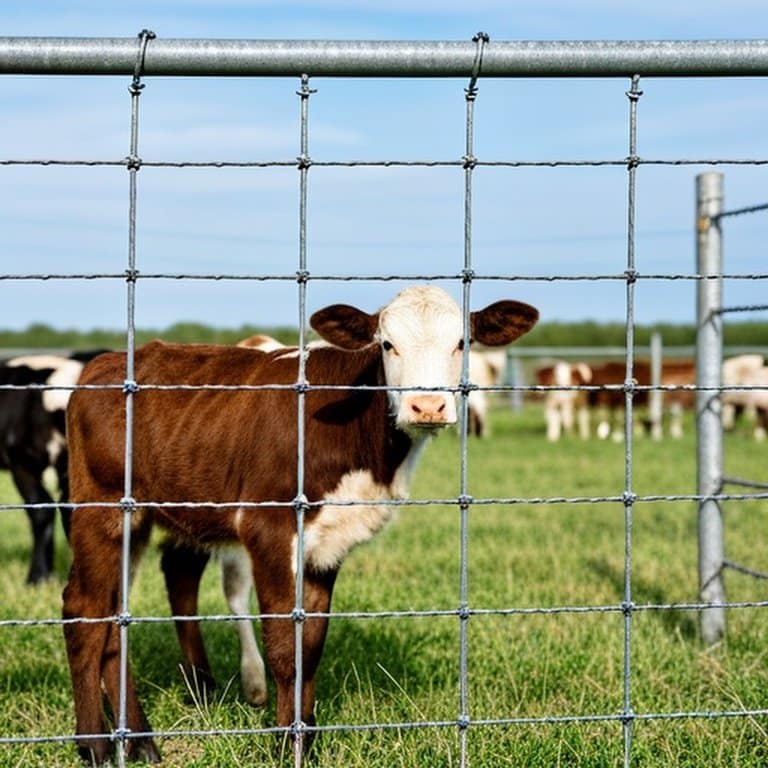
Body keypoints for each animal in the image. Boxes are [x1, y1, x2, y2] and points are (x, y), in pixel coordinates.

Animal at [62, 285, 538, 764]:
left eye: (462, 343)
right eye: (387, 344)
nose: (427, 406)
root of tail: (104, 364)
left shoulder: (328, 543)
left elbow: (310, 645)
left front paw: (305, 737)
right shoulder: (268, 529)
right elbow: (283, 648)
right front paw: (284, 743)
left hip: (137, 518)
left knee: (115, 615)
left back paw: (140, 740)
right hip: (101, 507)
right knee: (84, 608)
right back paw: (94, 744)